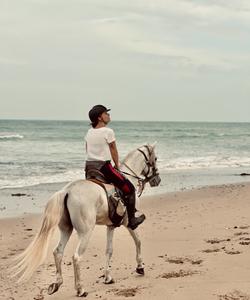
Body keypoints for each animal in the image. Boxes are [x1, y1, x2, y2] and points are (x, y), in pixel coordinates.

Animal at [11, 144, 160, 298]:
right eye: (155, 158)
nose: (157, 180)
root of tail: (67, 191)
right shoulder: (127, 223)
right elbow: (138, 241)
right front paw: (140, 267)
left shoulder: (111, 226)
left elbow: (109, 250)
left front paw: (108, 277)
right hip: (86, 232)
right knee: (76, 257)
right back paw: (80, 289)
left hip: (66, 229)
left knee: (58, 252)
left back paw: (57, 284)